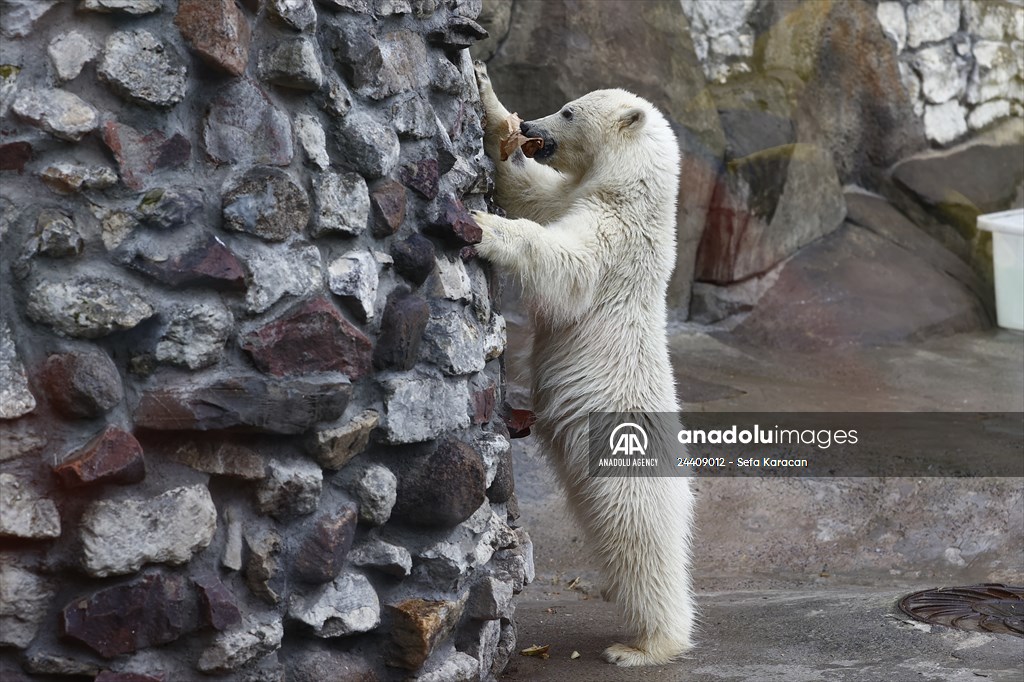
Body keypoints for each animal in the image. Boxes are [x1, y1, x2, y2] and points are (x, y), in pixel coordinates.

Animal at [471, 62, 698, 667]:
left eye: (569, 110)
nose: (532, 124)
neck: (632, 192)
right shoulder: (575, 198)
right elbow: (532, 192)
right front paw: (492, 107)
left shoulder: (616, 238)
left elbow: (564, 263)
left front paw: (483, 226)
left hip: (626, 463)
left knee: (639, 537)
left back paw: (644, 646)